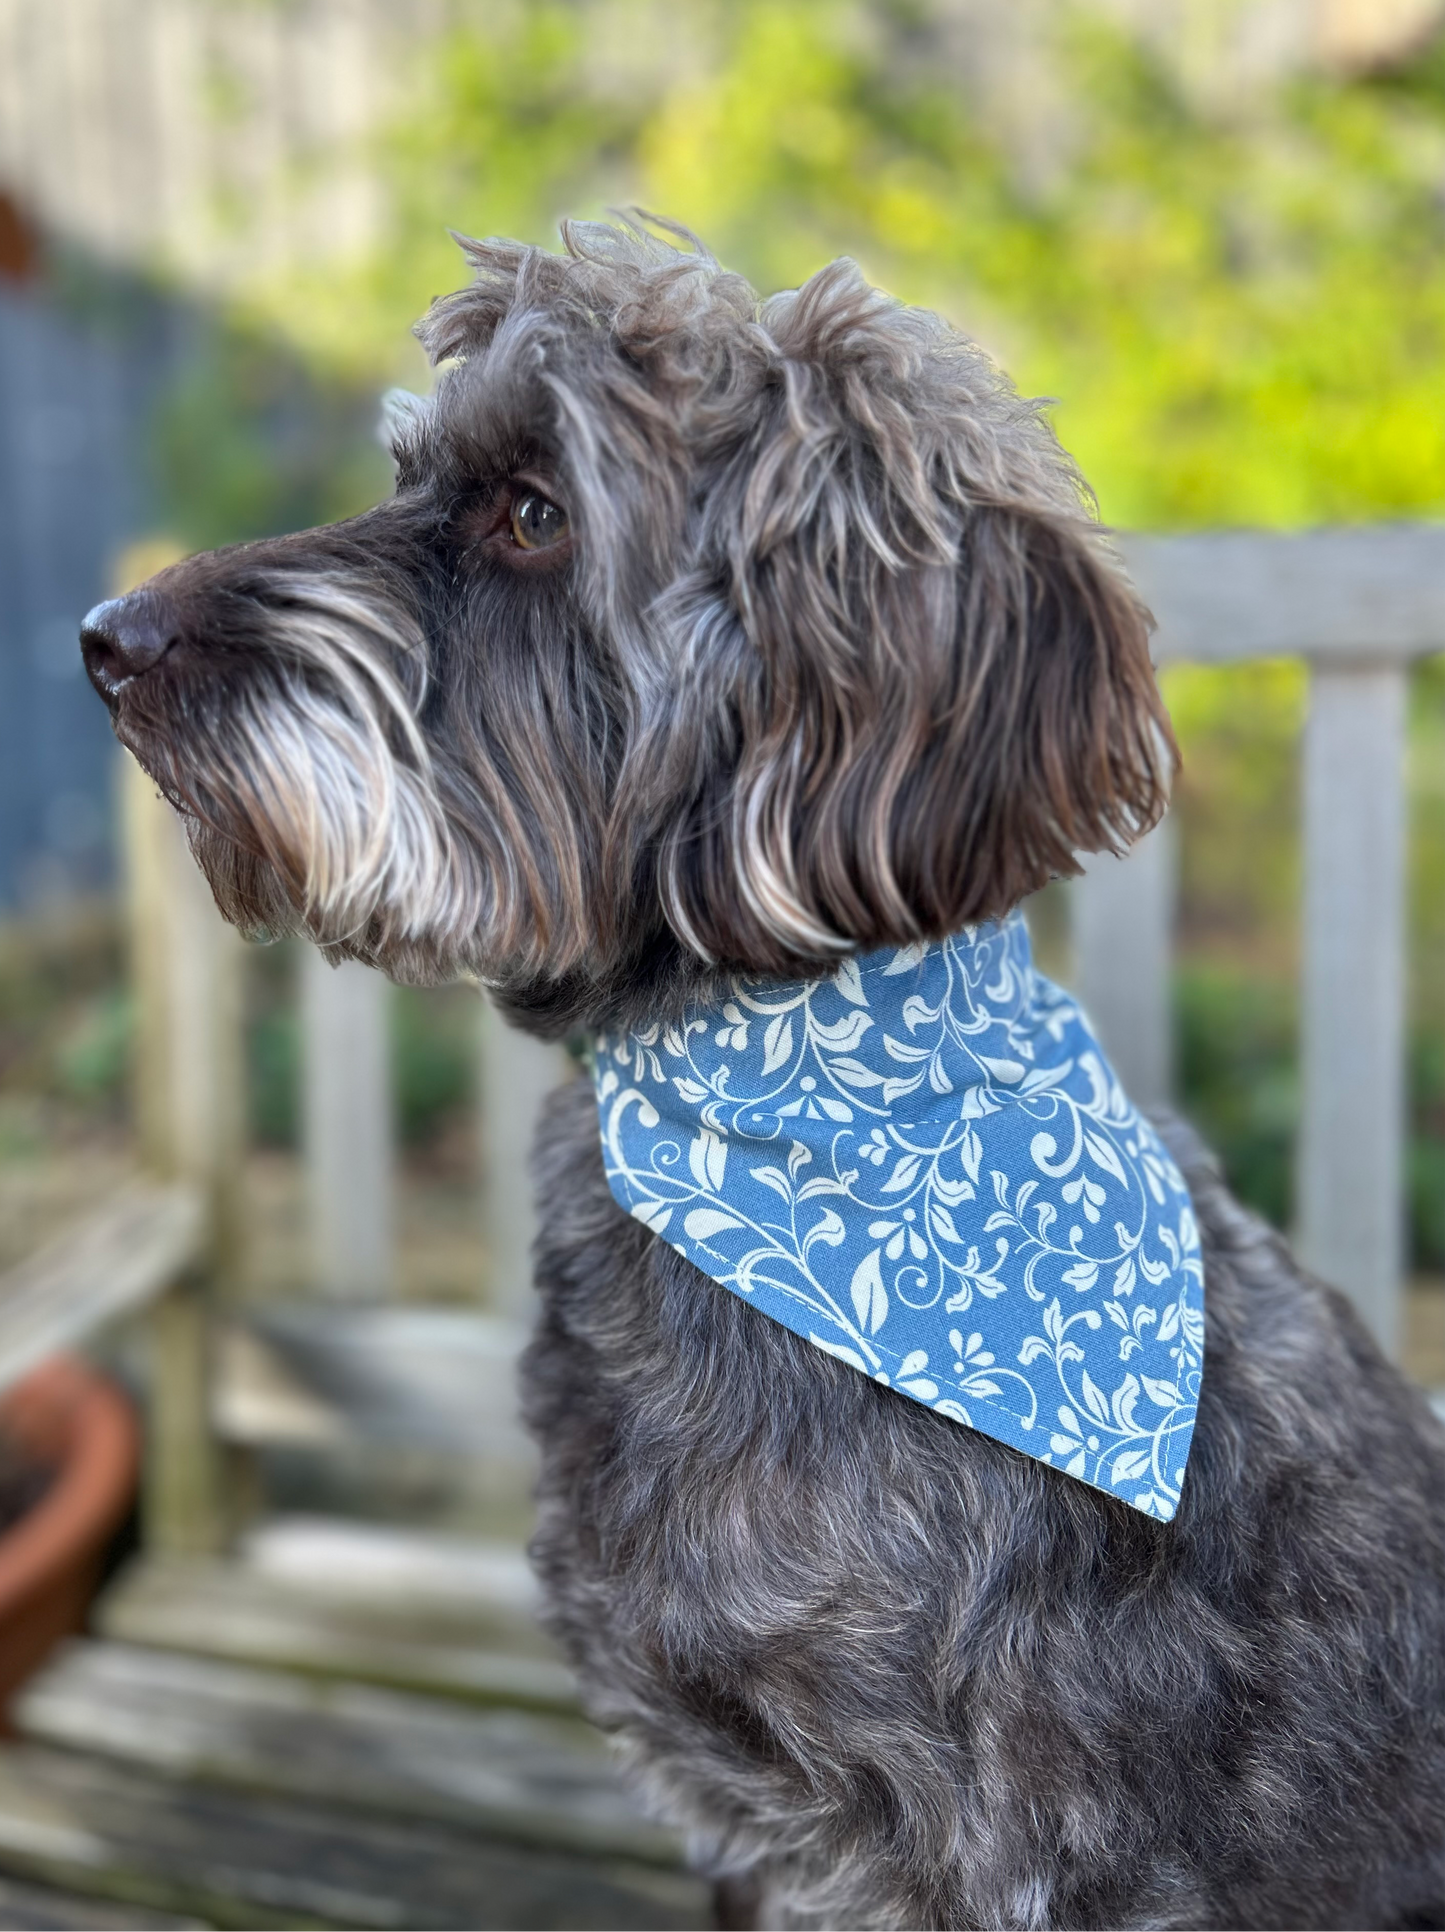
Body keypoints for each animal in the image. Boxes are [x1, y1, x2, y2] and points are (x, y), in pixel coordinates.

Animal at [81, 226, 1445, 1932]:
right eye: (413, 476)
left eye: (534, 513)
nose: (106, 638)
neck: (806, 1109)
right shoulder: (752, 1824)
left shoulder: (1014, 1845)